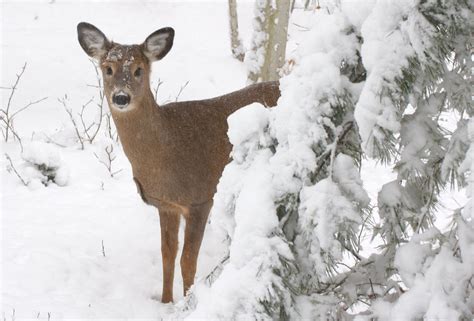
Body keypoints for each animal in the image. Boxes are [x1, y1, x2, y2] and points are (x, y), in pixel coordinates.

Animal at [76, 22, 280, 302]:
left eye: (139, 70)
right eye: (108, 69)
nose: (121, 97)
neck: (166, 153)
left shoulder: (201, 197)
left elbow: (188, 260)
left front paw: (188, 302)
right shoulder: (166, 205)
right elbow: (167, 255)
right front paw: (165, 301)